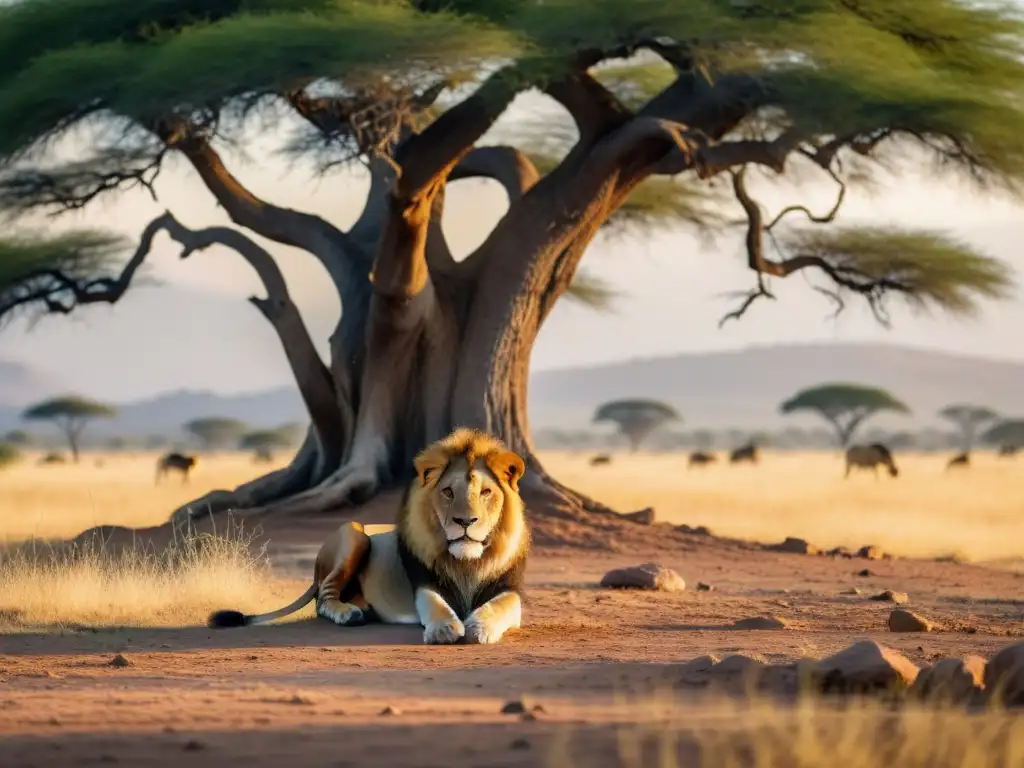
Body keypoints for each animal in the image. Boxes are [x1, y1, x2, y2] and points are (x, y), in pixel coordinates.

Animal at [204, 430, 532, 647]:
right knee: (324, 599)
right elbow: (435, 602)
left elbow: (500, 605)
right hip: (353, 532)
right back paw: (348, 613)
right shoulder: (423, 582)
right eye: (448, 492)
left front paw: (479, 626)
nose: (465, 521)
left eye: (486, 492)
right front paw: (444, 628)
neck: (466, 561)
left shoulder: (509, 589)